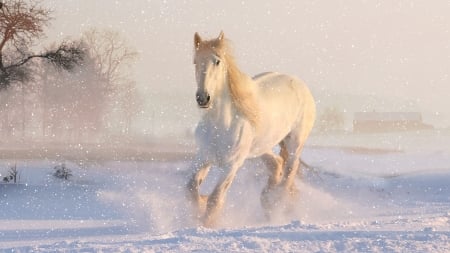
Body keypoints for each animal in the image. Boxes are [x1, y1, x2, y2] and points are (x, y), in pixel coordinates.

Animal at [186, 31, 316, 227]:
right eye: (195, 61)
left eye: (217, 61)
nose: (203, 98)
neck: (220, 126)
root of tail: (300, 84)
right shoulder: (203, 157)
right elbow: (191, 188)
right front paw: (200, 206)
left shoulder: (232, 165)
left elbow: (215, 199)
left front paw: (207, 224)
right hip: (261, 147)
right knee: (277, 163)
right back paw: (267, 199)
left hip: (295, 143)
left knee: (289, 172)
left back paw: (276, 203)